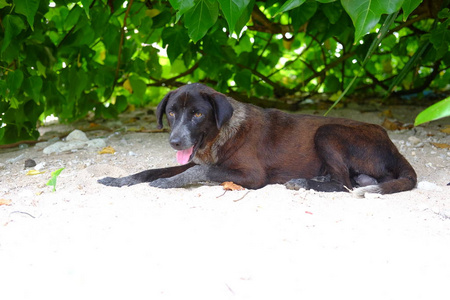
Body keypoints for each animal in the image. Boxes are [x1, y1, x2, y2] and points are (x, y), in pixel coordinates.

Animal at [99, 82, 418, 196]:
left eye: (198, 114)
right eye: (172, 113)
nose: (175, 143)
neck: (222, 134)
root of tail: (394, 146)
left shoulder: (251, 175)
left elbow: (201, 171)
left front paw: (170, 182)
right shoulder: (191, 158)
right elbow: (151, 170)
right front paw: (119, 180)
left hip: (328, 132)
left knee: (344, 183)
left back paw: (305, 183)